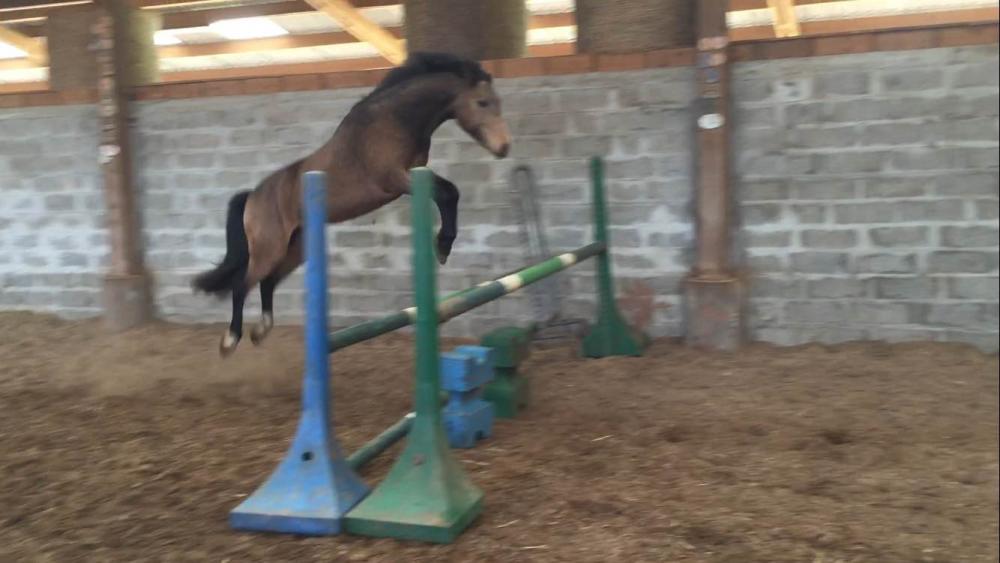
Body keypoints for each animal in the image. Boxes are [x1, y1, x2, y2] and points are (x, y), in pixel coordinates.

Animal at [190, 52, 512, 357]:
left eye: (498, 103)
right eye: (482, 102)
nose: (504, 148)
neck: (395, 120)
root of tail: (252, 197)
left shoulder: (414, 174)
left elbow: (451, 192)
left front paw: (444, 247)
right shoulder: (395, 179)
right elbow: (445, 194)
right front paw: (442, 246)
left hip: (295, 249)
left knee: (267, 282)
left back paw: (261, 331)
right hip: (269, 248)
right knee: (242, 284)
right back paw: (231, 340)